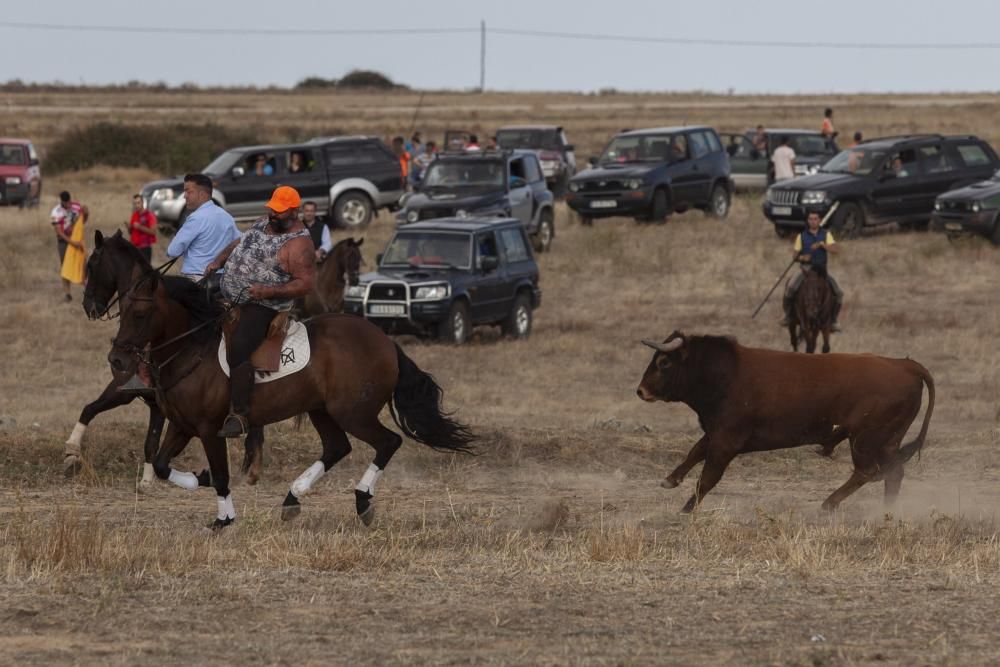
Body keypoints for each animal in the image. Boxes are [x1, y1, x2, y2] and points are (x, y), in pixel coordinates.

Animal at [88, 232, 474, 528]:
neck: (191, 345)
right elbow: (162, 464)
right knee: (337, 447)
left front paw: (224, 518)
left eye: (140, 313)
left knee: (387, 442)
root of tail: (385, 341)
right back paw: (293, 497)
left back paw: (362, 500)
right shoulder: (182, 424)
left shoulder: (209, 429)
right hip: (322, 410)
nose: (117, 359)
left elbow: (221, 475)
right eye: (123, 311)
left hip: (354, 412)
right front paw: (201, 479)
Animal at [636, 332, 932, 512]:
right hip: (887, 440)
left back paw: (828, 504)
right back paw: (887, 509)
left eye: (664, 362)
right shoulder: (716, 432)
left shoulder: (726, 441)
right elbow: (695, 452)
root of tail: (905, 365)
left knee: (867, 471)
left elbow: (708, 476)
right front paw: (670, 480)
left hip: (864, 439)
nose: (640, 391)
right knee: (893, 473)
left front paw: (686, 509)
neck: (725, 374)